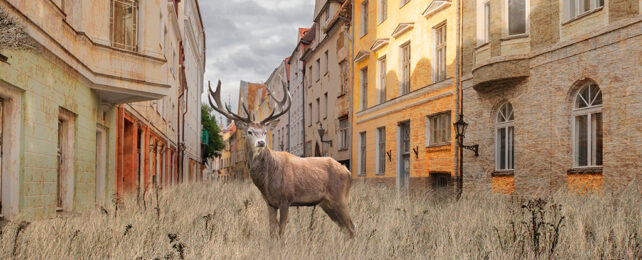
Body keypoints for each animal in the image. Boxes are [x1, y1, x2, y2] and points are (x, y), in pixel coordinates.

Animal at [208, 79, 356, 238]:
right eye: (249, 131)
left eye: (265, 131)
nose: (261, 143)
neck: (268, 179)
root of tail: (347, 171)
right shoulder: (270, 202)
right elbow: (272, 231)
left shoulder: (286, 198)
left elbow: (281, 232)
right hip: (327, 203)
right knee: (345, 228)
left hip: (340, 198)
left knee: (352, 227)